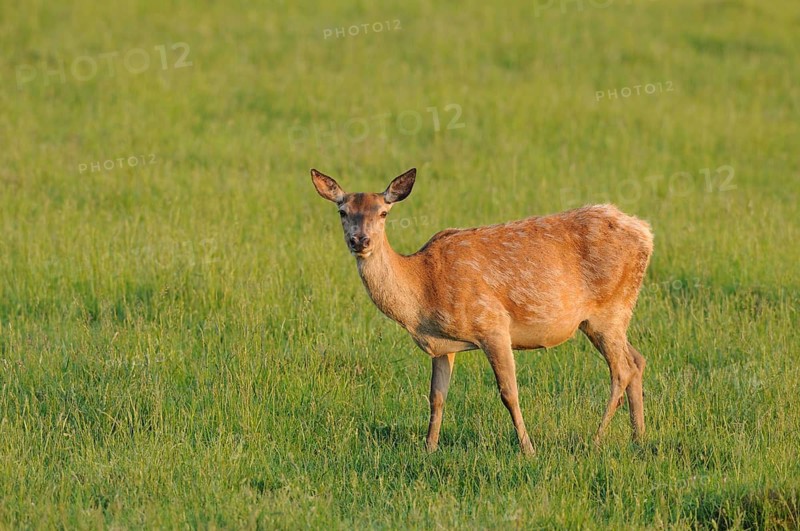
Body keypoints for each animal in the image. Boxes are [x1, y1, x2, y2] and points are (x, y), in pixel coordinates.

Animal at [311, 167, 653, 455]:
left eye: (383, 212)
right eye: (343, 211)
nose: (360, 240)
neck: (423, 290)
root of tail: (646, 232)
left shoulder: (492, 325)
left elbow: (508, 392)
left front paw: (528, 449)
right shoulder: (442, 346)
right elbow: (436, 397)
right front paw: (428, 448)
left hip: (609, 310)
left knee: (622, 370)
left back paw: (595, 439)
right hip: (605, 318)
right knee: (637, 360)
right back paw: (638, 437)